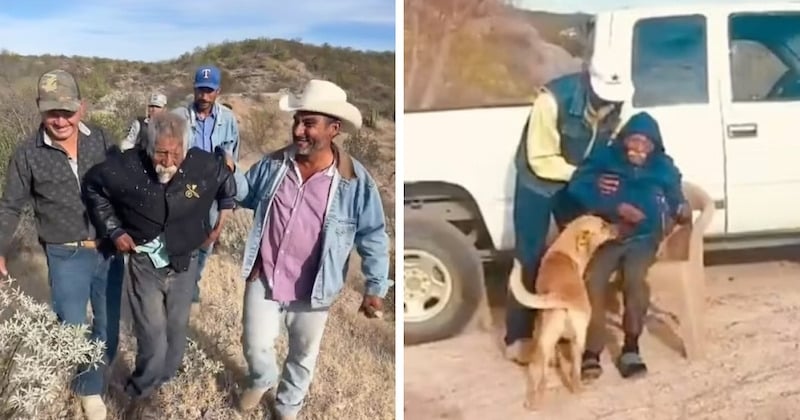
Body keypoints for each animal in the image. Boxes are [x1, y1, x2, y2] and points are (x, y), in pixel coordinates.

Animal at [506, 215, 620, 408]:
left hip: (547, 341)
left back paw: (533, 400)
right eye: (603, 225)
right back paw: (575, 390)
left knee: (541, 373)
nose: (619, 227)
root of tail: (561, 298)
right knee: (569, 373)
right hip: (577, 340)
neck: (565, 249)